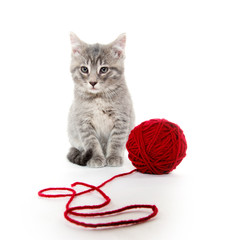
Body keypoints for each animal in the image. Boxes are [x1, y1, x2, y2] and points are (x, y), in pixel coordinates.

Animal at [67, 32, 135, 167]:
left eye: (103, 69)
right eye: (84, 69)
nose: (93, 82)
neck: (98, 98)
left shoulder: (122, 118)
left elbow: (116, 140)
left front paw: (114, 156)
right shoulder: (83, 121)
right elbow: (91, 142)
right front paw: (96, 157)